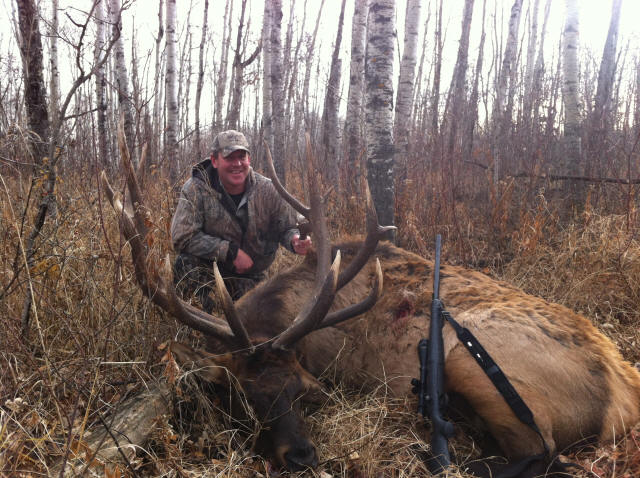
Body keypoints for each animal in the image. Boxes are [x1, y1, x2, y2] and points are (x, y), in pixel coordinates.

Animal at [102, 123, 640, 477]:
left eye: (303, 391)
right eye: (242, 397)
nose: (302, 457)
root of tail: (623, 395)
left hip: (467, 356)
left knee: (541, 452)